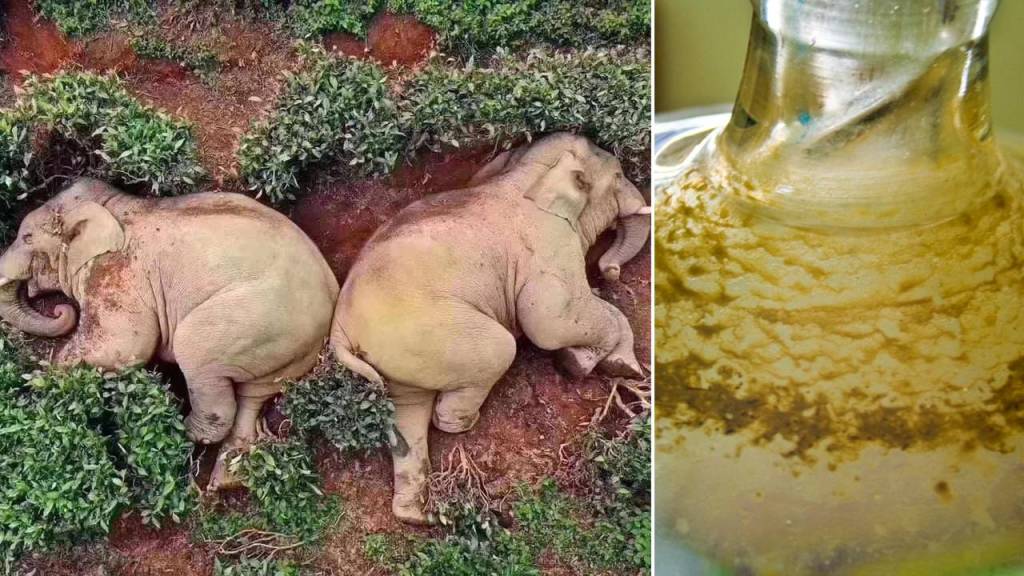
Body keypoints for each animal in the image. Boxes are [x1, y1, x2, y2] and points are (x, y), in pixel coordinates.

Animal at [0, 178, 340, 487]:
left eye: (27, 237)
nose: (60, 310)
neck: (114, 205)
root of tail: (331, 298)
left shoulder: (117, 273)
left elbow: (123, 347)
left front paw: (39, 379)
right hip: (286, 349)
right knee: (253, 394)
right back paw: (225, 480)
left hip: (256, 319)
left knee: (196, 353)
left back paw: (178, 431)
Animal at [331, 133, 650, 523]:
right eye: (618, 176)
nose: (609, 270)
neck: (523, 173)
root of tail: (340, 332)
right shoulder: (549, 245)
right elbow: (549, 322)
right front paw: (588, 364)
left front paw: (609, 364)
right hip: (433, 334)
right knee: (497, 351)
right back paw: (464, 425)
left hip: (396, 357)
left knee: (408, 411)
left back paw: (417, 515)